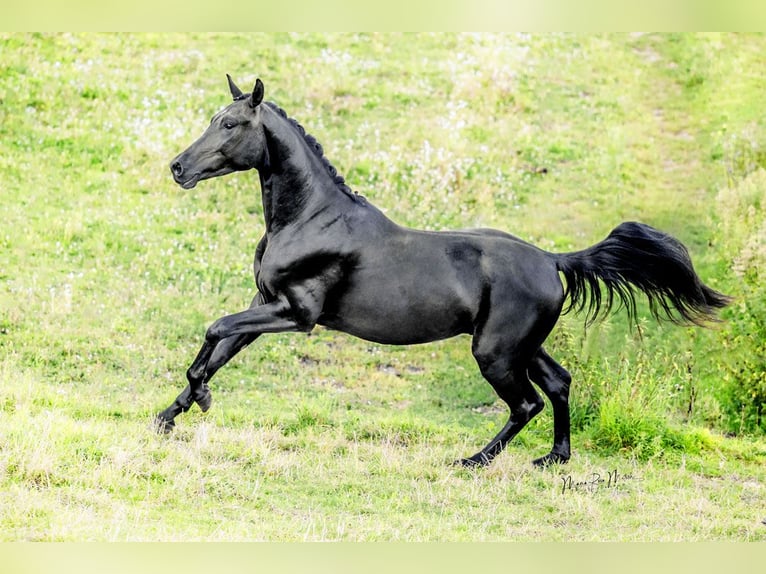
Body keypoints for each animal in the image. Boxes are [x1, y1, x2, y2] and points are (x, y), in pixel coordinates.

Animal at [159, 76, 736, 470]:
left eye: (230, 124)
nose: (178, 168)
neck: (310, 218)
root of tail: (552, 260)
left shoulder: (296, 314)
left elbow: (214, 330)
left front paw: (198, 400)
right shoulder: (265, 303)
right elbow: (220, 349)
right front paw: (171, 414)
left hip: (496, 353)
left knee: (526, 402)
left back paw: (474, 461)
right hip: (521, 345)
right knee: (560, 383)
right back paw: (553, 459)